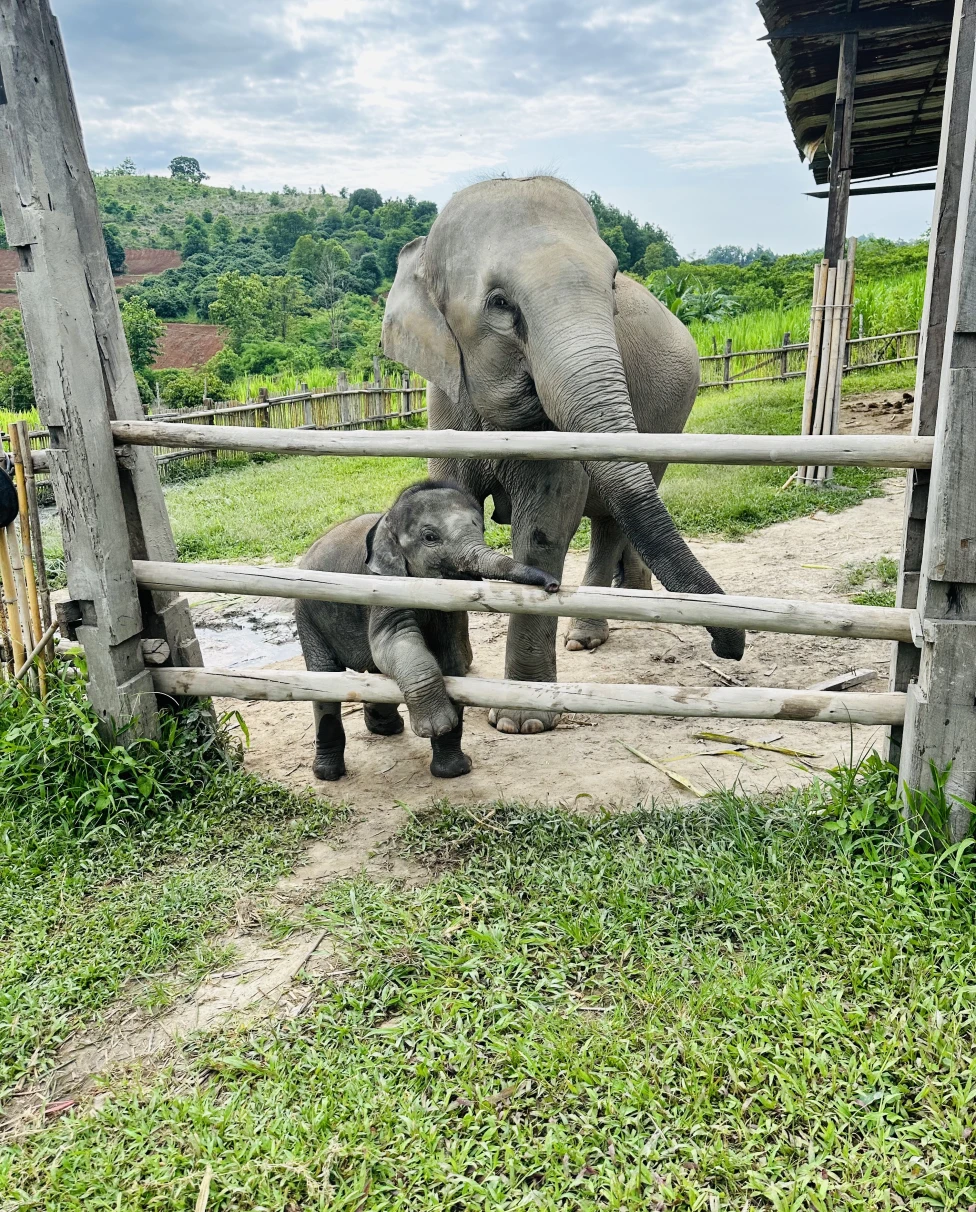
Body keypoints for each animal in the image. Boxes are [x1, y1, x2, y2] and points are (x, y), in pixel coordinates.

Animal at [295, 479, 559, 781]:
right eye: (430, 537)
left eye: (480, 528)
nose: (553, 584)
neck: (389, 518)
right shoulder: (382, 585)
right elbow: (395, 643)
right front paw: (437, 725)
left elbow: (451, 662)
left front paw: (454, 771)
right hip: (308, 614)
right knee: (323, 681)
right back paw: (329, 774)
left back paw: (386, 729)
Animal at [381, 174, 745, 736]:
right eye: (500, 303)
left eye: (612, 283)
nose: (730, 648)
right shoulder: (443, 403)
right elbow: (448, 499)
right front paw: (460, 672)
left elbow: (548, 519)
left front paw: (519, 723)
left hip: (673, 410)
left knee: (617, 512)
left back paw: (586, 636)